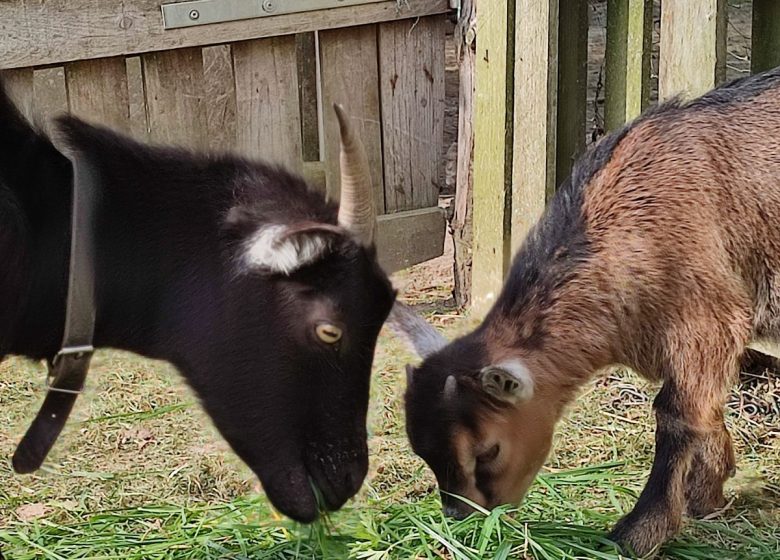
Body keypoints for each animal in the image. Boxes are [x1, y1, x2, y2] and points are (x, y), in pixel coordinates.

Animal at [394, 66, 780, 556]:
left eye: (488, 451)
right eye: (422, 452)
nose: (463, 519)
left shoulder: (708, 319)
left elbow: (676, 414)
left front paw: (638, 531)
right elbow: (705, 413)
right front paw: (708, 493)